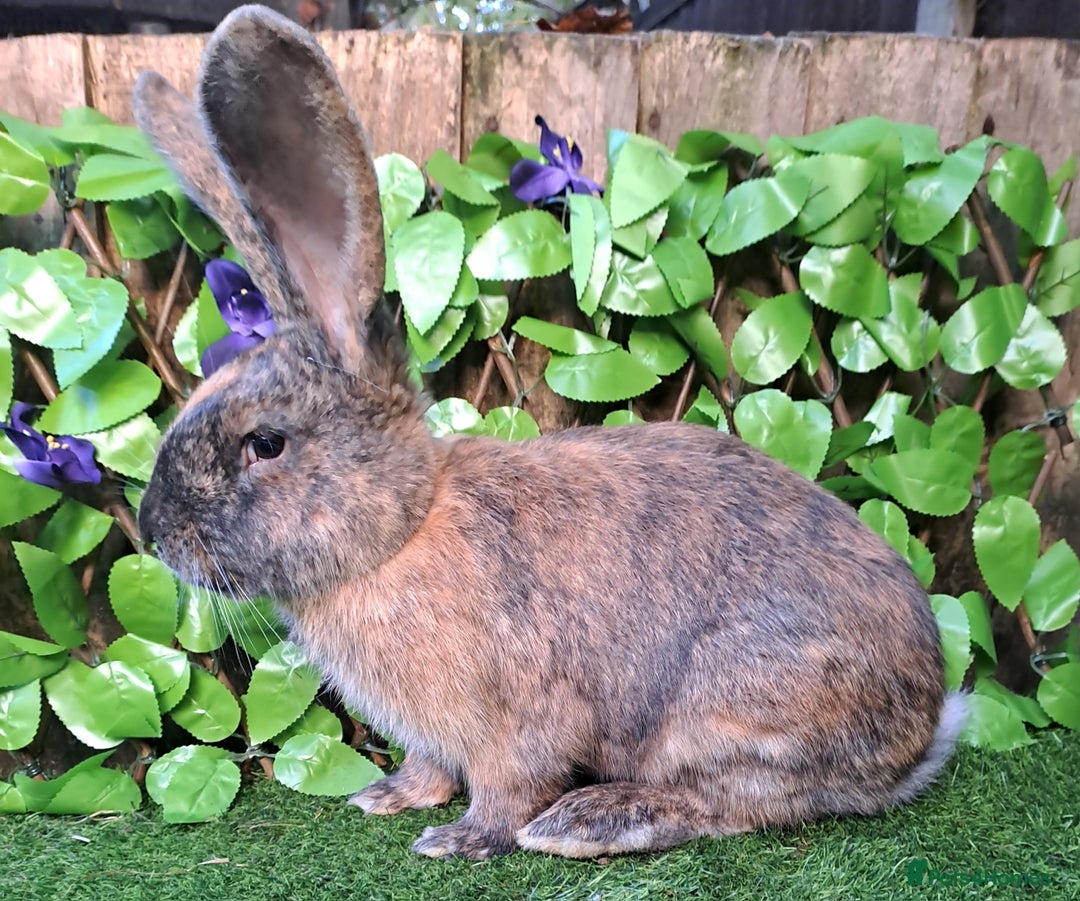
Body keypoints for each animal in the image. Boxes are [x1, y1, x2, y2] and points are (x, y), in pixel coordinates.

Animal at [134, 4, 966, 861]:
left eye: (265, 443)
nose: (152, 530)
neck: (401, 533)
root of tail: (923, 731)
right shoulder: (436, 732)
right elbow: (429, 764)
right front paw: (387, 797)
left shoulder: (521, 718)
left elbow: (510, 782)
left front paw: (461, 839)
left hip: (732, 713)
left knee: (731, 804)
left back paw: (587, 820)